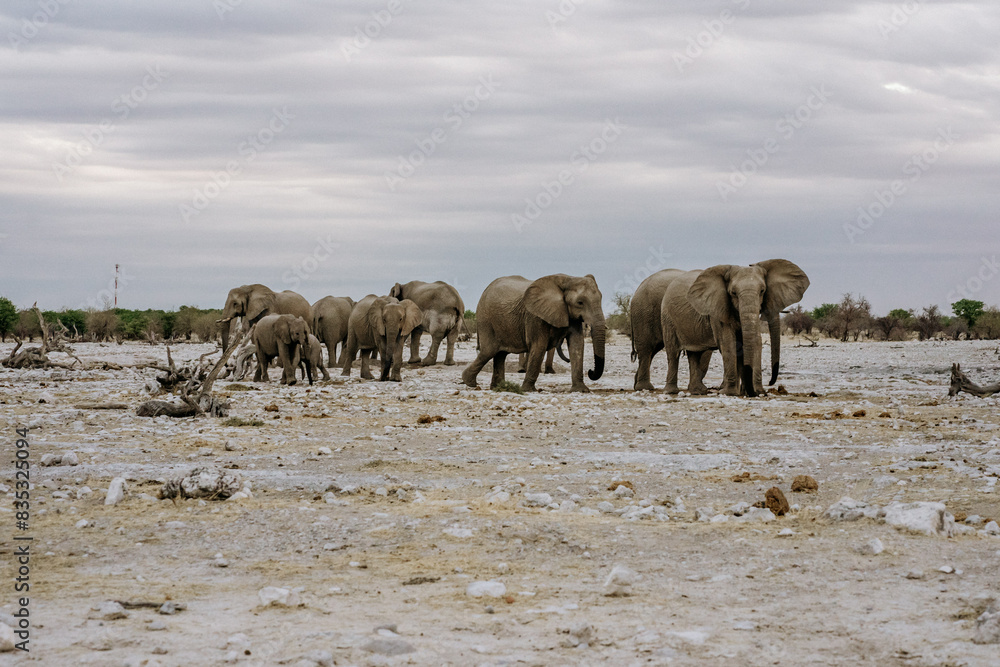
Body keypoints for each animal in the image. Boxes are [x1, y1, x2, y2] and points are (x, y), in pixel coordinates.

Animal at [462, 274, 606, 393]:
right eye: (580, 302)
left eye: (601, 299)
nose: (590, 371)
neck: (568, 279)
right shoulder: (535, 316)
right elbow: (539, 346)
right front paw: (528, 390)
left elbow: (577, 345)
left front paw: (581, 390)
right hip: (485, 319)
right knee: (489, 351)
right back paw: (470, 382)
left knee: (500, 354)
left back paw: (499, 387)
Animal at [661, 260, 809, 397]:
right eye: (733, 293)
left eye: (762, 291)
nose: (770, 382)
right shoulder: (717, 310)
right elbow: (728, 343)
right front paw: (730, 392)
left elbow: (756, 341)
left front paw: (757, 392)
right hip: (667, 317)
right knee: (673, 353)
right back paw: (671, 391)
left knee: (694, 354)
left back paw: (698, 392)